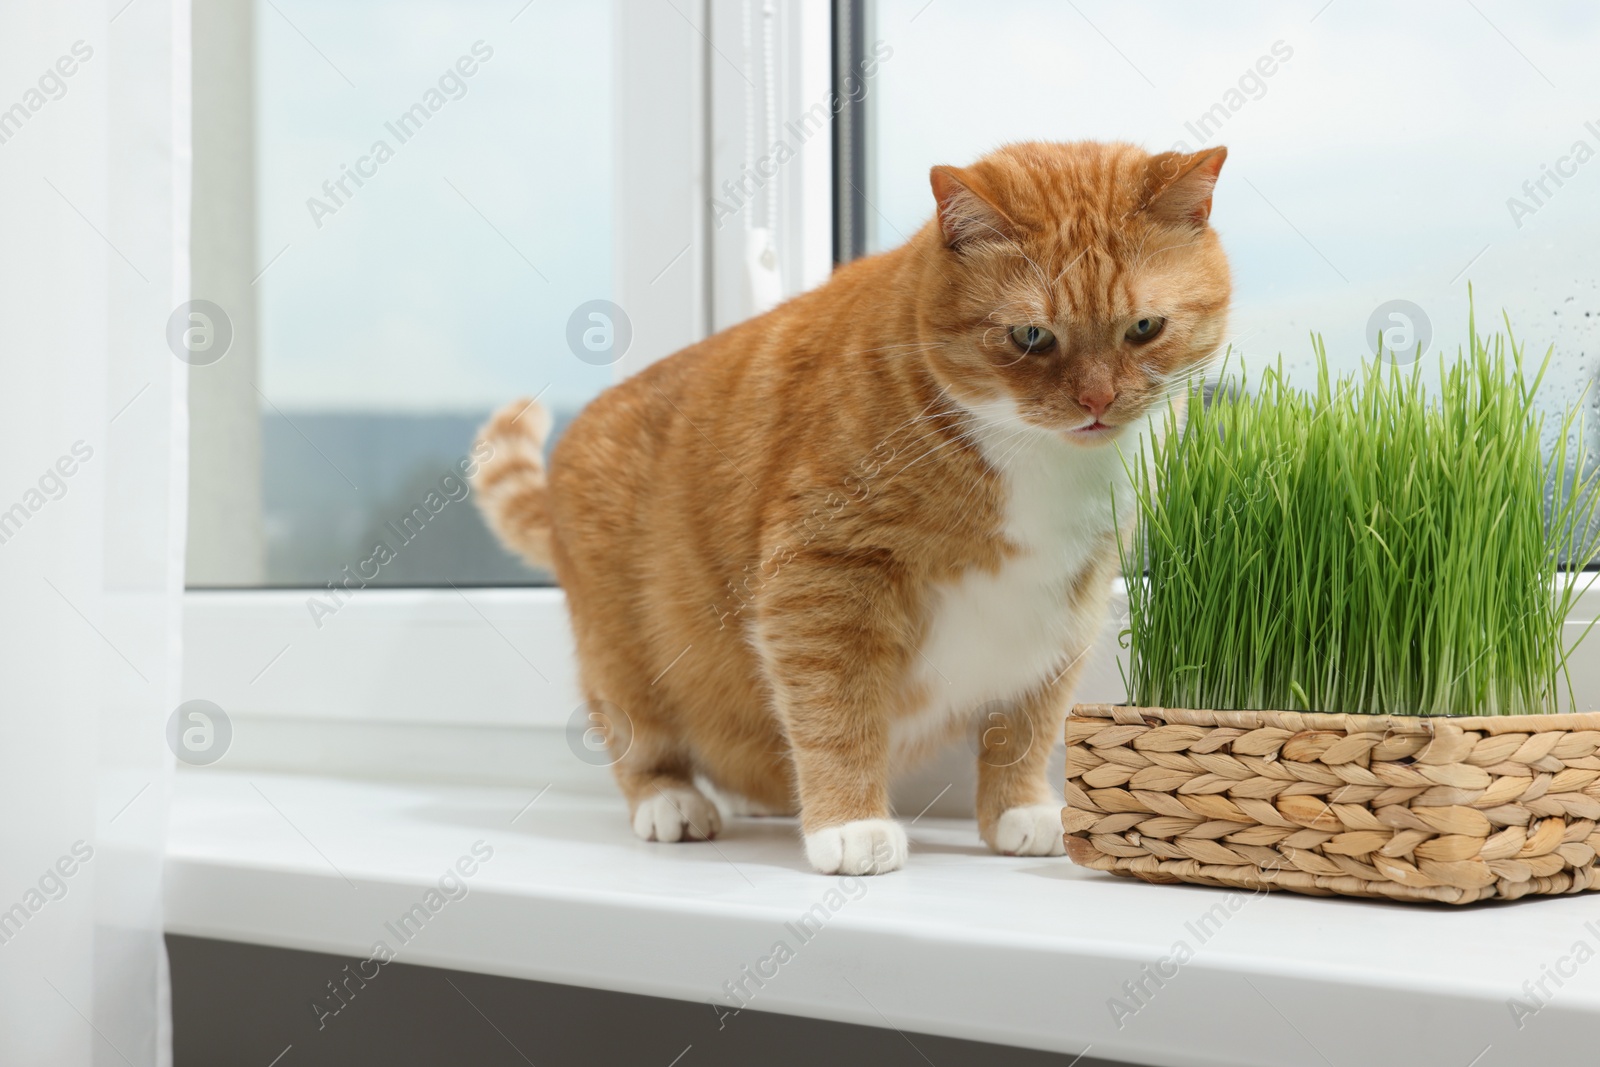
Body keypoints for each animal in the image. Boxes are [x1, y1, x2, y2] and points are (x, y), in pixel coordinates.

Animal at [467, 141, 1228, 876]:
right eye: (1031, 337)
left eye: (1145, 327)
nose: (1098, 402)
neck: (1043, 462)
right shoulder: (824, 575)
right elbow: (837, 712)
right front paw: (850, 826)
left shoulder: (1068, 606)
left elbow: (1028, 721)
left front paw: (1020, 809)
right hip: (624, 657)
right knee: (639, 735)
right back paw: (672, 802)